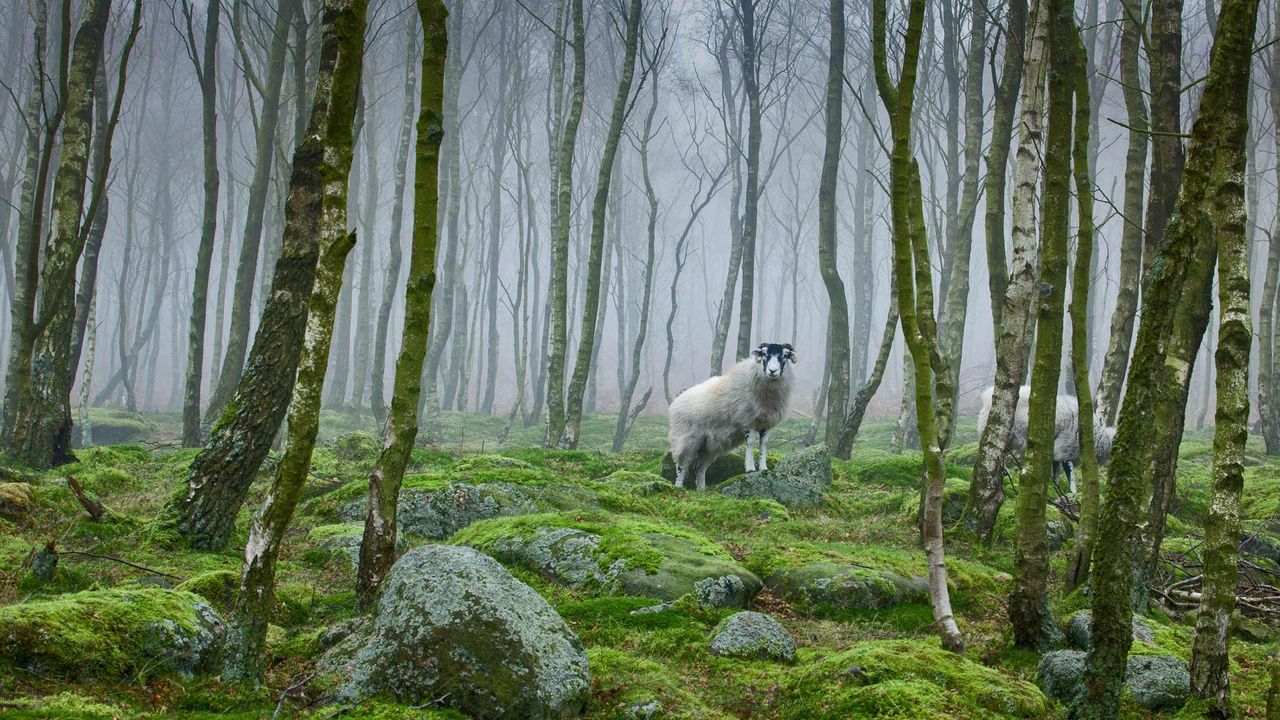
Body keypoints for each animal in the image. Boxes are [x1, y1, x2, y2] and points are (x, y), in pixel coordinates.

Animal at [668, 342, 798, 490]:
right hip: (685, 438)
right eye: (764, 354)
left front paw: (763, 468)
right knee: (682, 466)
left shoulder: (765, 424)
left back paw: (701, 490)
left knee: (700, 468)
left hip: (708, 446)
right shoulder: (747, 420)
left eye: (784, 355)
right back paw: (678, 487)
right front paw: (750, 468)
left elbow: (763, 444)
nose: (772, 371)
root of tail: (676, 401)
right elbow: (751, 443)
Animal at [976, 385, 1117, 493]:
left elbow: (1056, 473)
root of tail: (987, 395)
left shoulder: (1057, 452)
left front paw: (1057, 489)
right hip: (1001, 431)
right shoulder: (1065, 450)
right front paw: (1073, 493)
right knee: (993, 450)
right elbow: (1070, 475)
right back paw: (1004, 472)